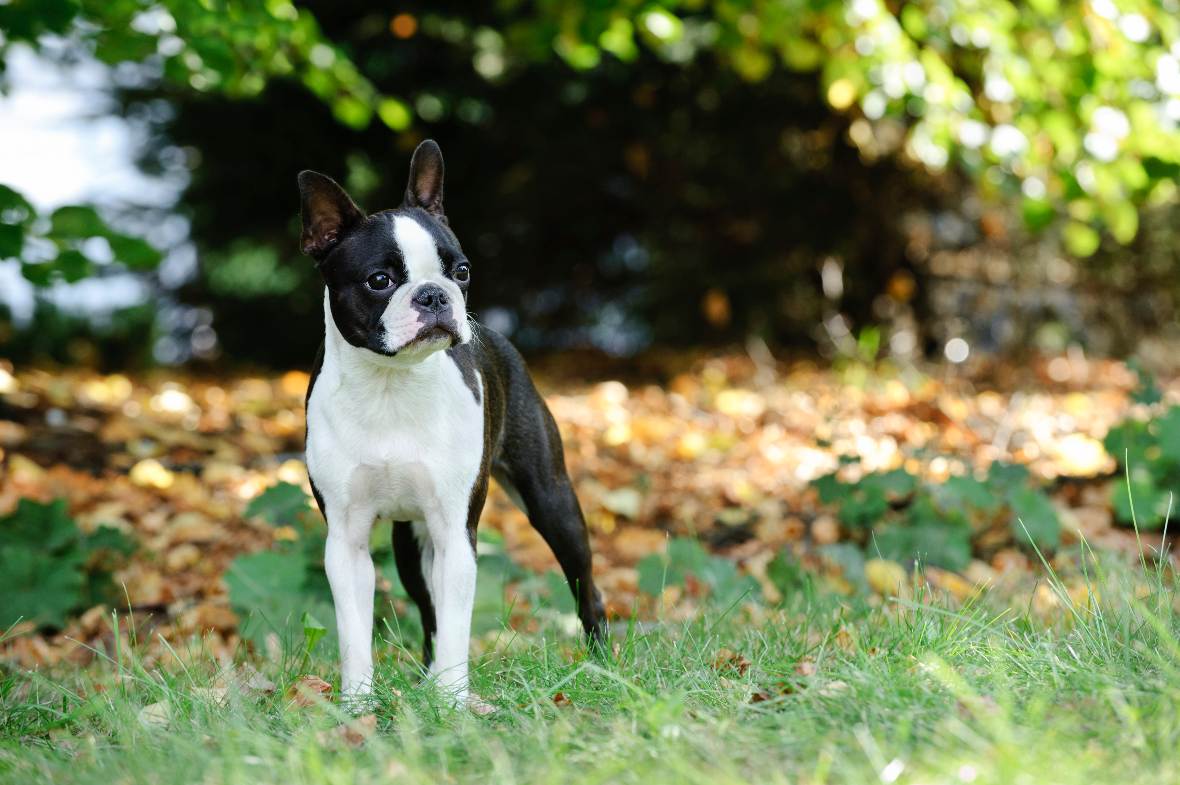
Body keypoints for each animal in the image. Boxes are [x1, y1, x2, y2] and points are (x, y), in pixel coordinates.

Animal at [295, 137, 608, 698]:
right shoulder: (346, 541)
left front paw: (453, 700)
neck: (391, 385)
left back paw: (602, 665)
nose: (435, 294)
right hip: (409, 541)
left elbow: (458, 624)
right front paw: (356, 705)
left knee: (586, 589)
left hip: (552, 500)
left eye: (461, 272)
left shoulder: (455, 531)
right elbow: (355, 632)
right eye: (379, 281)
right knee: (427, 613)